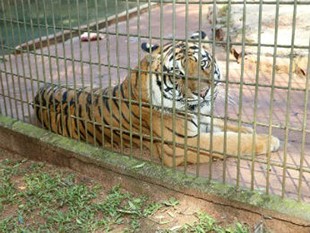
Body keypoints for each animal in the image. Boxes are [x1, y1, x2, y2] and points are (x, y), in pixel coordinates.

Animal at [34, 30, 280, 167]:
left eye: (203, 63)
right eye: (178, 74)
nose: (203, 93)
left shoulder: (204, 120)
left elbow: (230, 127)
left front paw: (255, 130)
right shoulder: (181, 145)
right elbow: (230, 141)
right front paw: (270, 140)